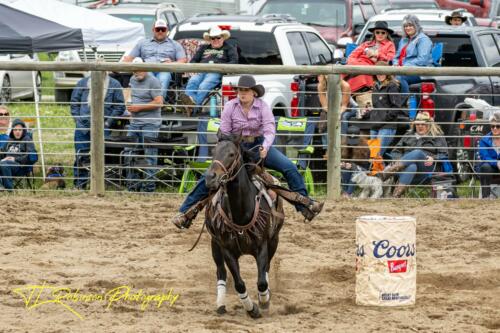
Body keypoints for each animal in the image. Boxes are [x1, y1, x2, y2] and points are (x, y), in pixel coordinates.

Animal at [204, 131, 286, 318]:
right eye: (213, 152)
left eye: (232, 154)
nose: (211, 178)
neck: (241, 212)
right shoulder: (227, 250)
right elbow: (239, 283)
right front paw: (251, 308)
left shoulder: (263, 246)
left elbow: (262, 280)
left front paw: (264, 302)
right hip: (214, 244)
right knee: (221, 272)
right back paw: (221, 305)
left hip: (274, 240)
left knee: (267, 268)